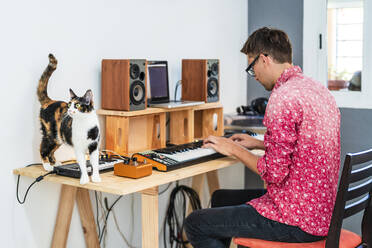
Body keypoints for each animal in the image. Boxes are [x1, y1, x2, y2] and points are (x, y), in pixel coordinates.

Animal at [37, 53, 100, 184]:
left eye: (77, 105)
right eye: (69, 104)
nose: (70, 110)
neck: (84, 123)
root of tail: (49, 101)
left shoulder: (94, 145)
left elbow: (95, 163)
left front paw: (96, 178)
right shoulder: (78, 147)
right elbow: (82, 164)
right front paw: (84, 179)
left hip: (59, 138)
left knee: (51, 150)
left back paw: (55, 163)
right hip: (51, 135)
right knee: (43, 148)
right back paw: (47, 165)